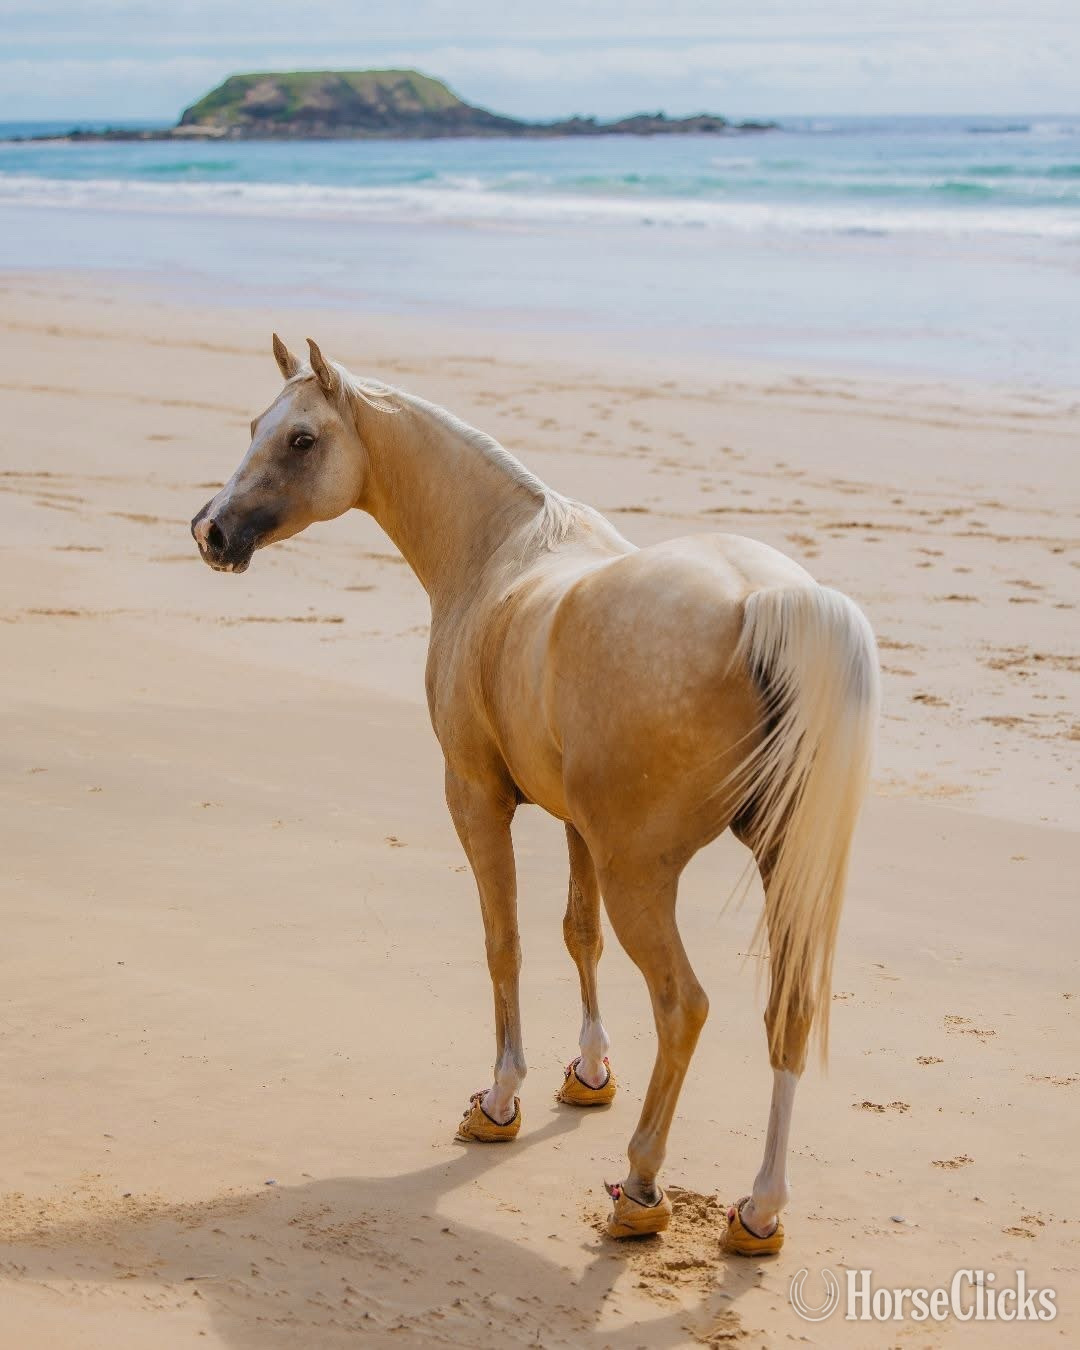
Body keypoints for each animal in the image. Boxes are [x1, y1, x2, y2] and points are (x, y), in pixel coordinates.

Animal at [191, 335, 879, 1253]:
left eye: (301, 439)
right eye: (255, 427)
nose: (212, 530)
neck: (500, 552)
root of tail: (765, 598)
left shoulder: (476, 800)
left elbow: (505, 942)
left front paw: (501, 1099)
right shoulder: (577, 825)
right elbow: (577, 935)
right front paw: (588, 1072)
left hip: (643, 877)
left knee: (684, 1008)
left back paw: (641, 1187)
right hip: (773, 865)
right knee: (788, 1011)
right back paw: (759, 1210)